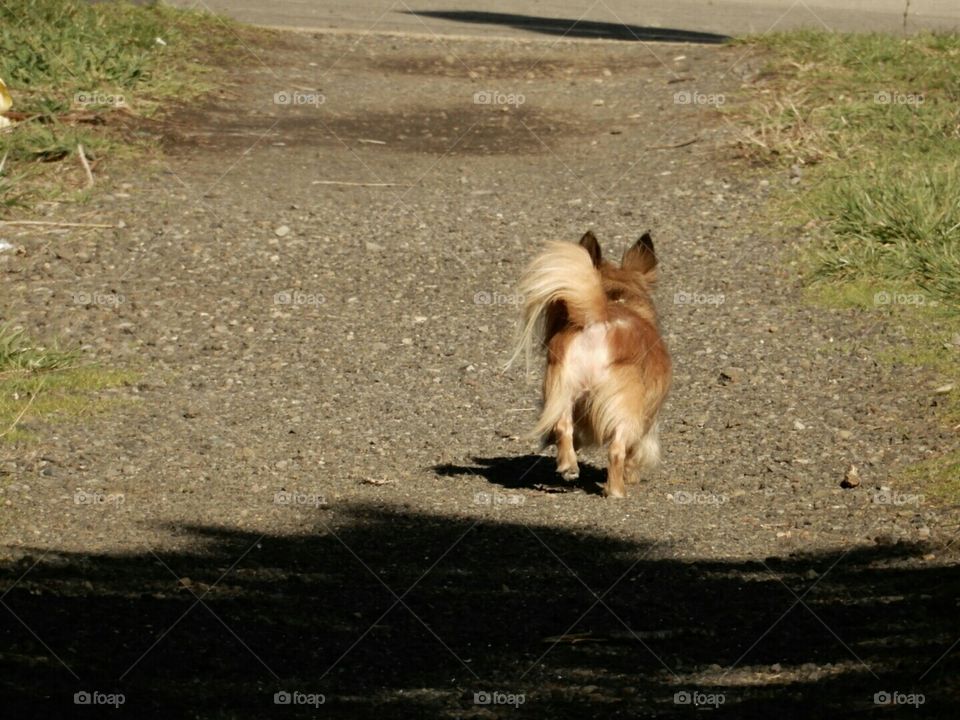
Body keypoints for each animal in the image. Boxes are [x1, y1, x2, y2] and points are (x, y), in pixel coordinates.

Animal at [510, 233, 676, 498]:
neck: (616, 298)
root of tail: (598, 321)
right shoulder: (648, 419)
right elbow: (634, 452)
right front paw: (631, 475)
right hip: (626, 409)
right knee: (616, 450)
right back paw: (616, 492)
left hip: (562, 389)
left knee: (563, 428)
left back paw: (568, 466)